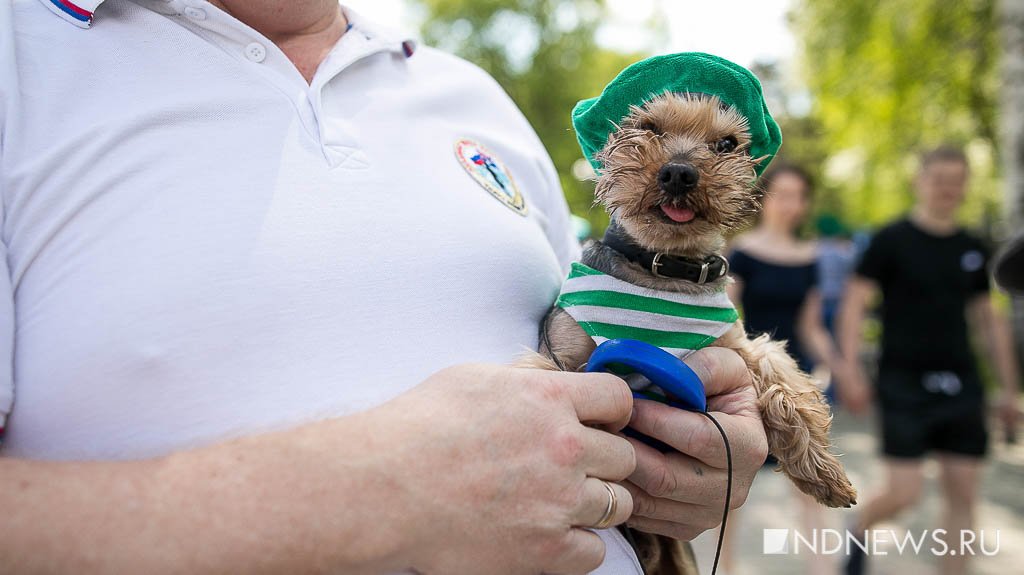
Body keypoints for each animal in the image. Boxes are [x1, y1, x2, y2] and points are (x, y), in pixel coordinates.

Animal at [520, 89, 856, 568]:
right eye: (648, 127)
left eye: (727, 144)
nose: (679, 171)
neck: (662, 268)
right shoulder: (560, 354)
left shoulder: (737, 345)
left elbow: (783, 382)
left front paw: (824, 473)